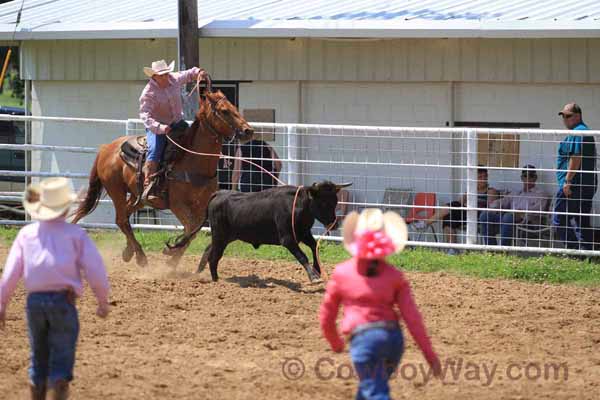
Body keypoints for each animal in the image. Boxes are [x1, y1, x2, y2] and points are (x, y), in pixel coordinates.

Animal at [71, 90, 254, 266]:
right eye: (224, 111)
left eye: (234, 108)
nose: (248, 131)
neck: (193, 161)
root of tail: (106, 148)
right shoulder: (177, 204)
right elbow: (190, 228)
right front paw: (171, 253)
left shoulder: (202, 206)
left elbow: (193, 231)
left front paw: (172, 258)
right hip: (116, 190)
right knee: (121, 219)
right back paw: (140, 256)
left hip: (139, 197)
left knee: (125, 216)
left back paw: (129, 252)